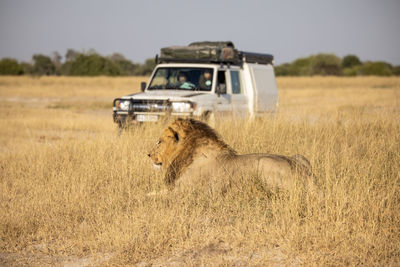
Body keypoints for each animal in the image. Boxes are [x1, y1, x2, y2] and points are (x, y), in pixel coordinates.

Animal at [147, 119, 316, 191]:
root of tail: (307, 176)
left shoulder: (183, 191)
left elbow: (152, 195)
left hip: (264, 163)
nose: (148, 154)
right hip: (301, 157)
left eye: (159, 141)